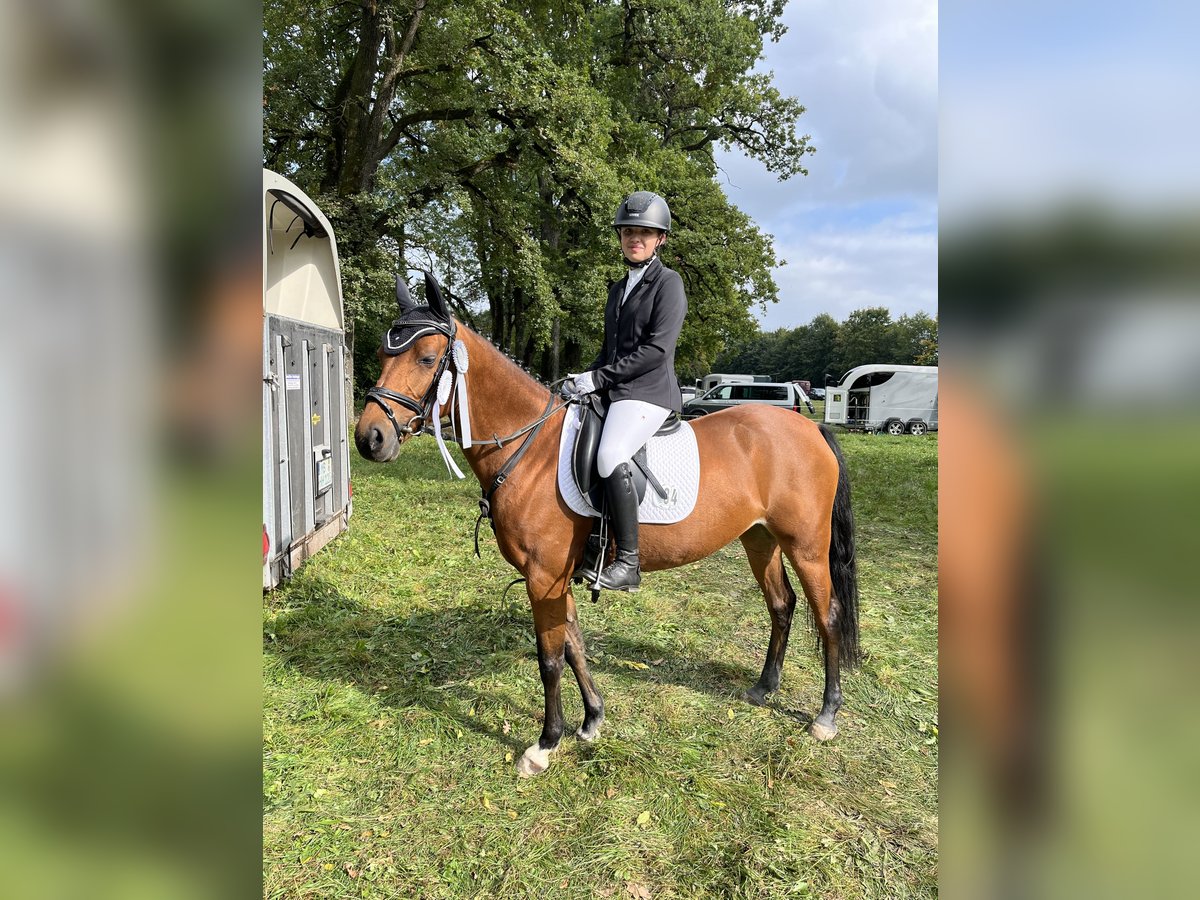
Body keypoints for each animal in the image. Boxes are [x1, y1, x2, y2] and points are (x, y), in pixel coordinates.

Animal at [354, 273, 860, 777]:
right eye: (381, 354)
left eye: (426, 358)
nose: (369, 439)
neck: (529, 449)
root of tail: (811, 429)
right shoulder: (557, 578)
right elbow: (574, 645)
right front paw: (592, 720)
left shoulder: (543, 577)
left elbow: (550, 659)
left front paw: (545, 743)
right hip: (760, 539)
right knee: (781, 604)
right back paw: (764, 688)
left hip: (806, 546)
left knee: (828, 615)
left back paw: (826, 716)